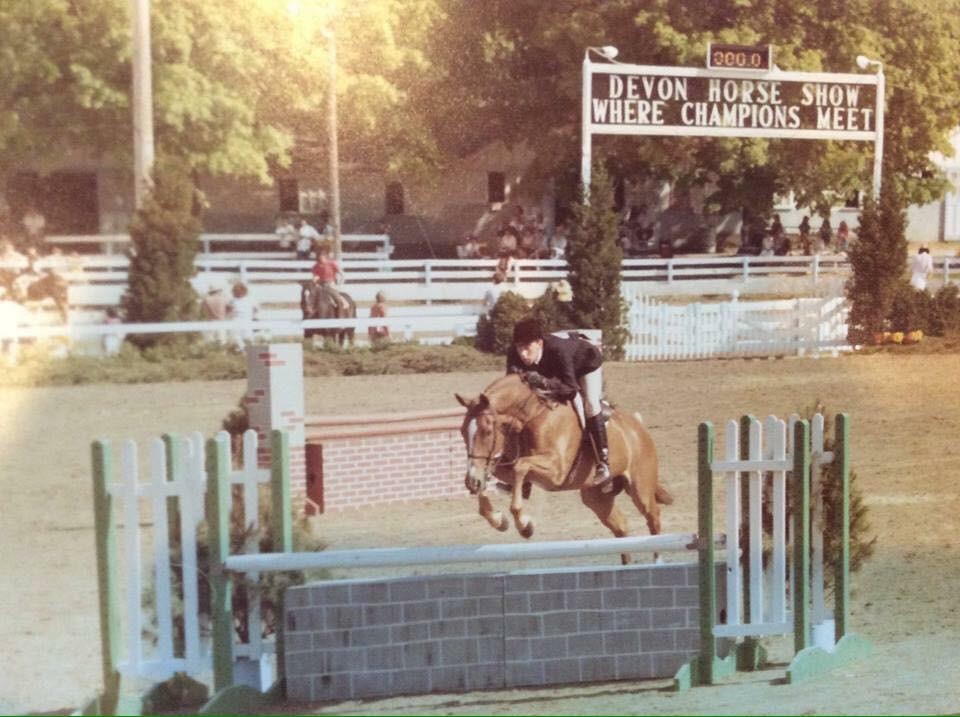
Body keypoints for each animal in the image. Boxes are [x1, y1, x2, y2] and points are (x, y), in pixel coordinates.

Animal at [454, 372, 672, 564]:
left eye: (487, 431)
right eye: (462, 431)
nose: (470, 483)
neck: (532, 414)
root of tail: (638, 427)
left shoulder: (555, 472)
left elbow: (520, 467)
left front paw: (524, 525)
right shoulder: (504, 466)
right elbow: (497, 476)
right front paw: (499, 520)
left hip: (640, 488)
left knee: (653, 517)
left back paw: (657, 561)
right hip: (596, 497)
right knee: (621, 527)